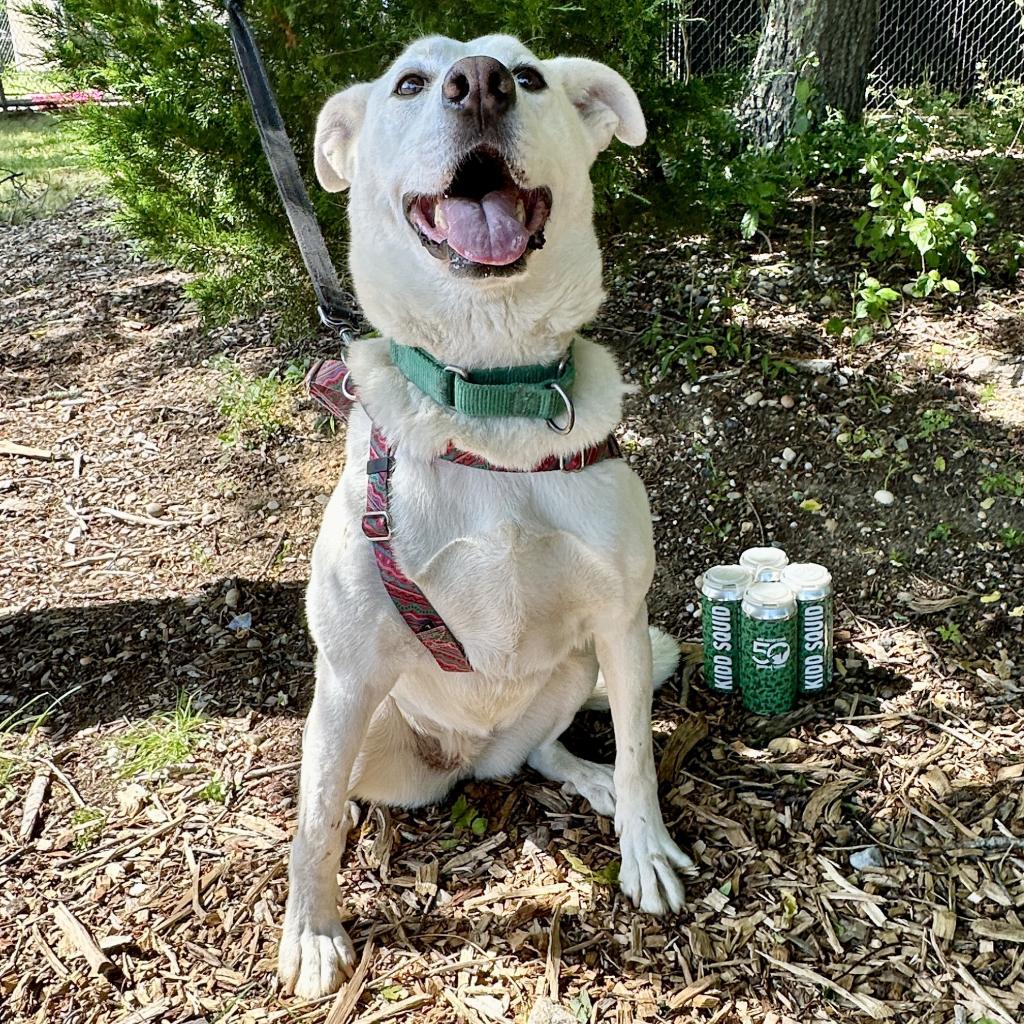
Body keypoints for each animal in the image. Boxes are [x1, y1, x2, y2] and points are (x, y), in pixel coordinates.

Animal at [280, 36, 696, 995]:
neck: (491, 397)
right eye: (409, 83)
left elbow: (641, 751)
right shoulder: (347, 668)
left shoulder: (620, 619)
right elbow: (311, 824)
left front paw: (644, 845)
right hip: (364, 728)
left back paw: (584, 777)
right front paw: (313, 931)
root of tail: (472, 759)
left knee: (547, 750)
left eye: (530, 75)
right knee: (336, 787)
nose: (480, 83)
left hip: (575, 670)